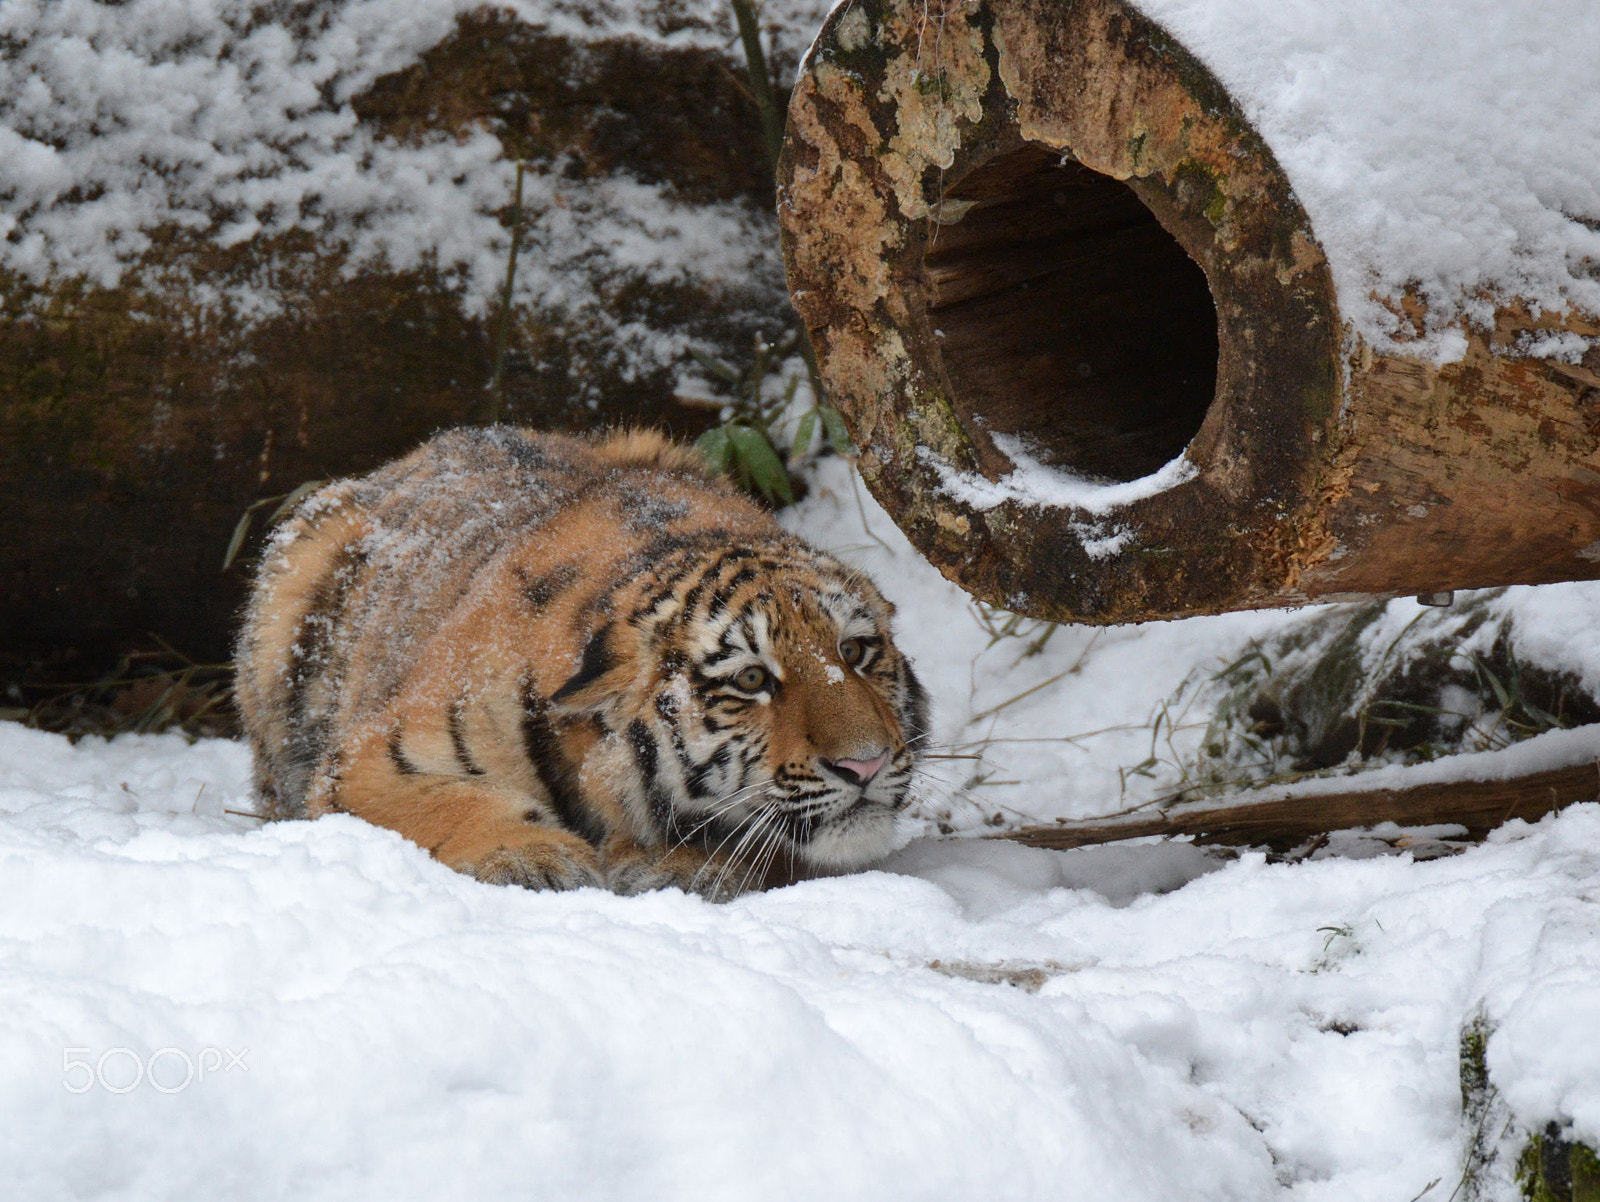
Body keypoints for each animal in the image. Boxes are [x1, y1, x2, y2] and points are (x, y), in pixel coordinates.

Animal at [234, 425, 928, 899]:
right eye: (752, 679)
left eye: (855, 652)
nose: (864, 765)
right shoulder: (368, 762)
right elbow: (447, 802)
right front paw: (532, 857)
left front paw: (676, 864)